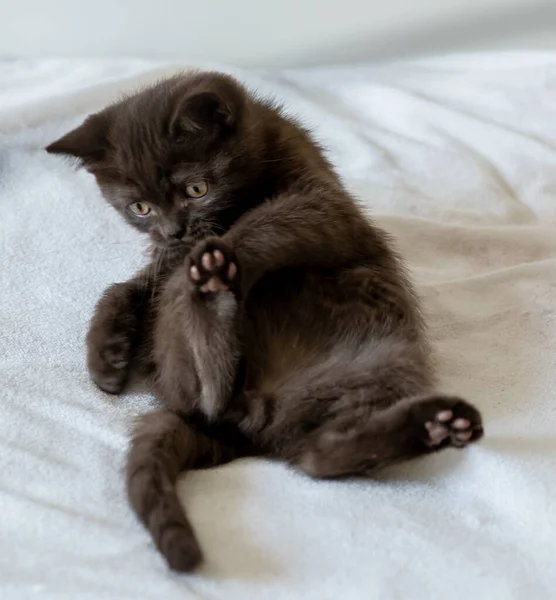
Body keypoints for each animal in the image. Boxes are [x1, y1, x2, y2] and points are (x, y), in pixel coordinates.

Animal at [46, 72, 482, 576]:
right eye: (140, 207)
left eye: (196, 190)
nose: (175, 230)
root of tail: (249, 418)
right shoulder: (162, 257)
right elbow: (130, 286)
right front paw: (106, 357)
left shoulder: (324, 204)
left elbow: (264, 220)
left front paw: (205, 269)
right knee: (236, 412)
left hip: (385, 359)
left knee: (318, 454)